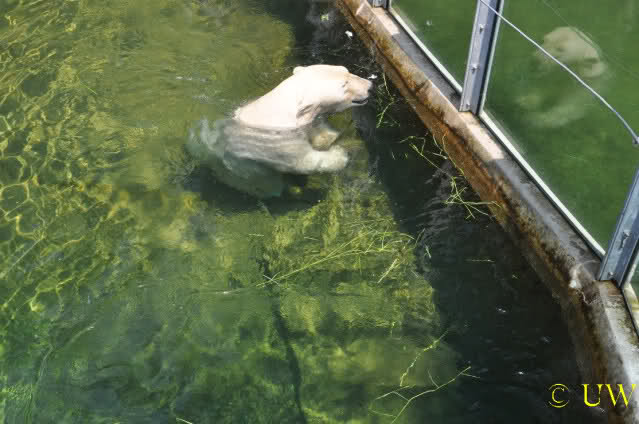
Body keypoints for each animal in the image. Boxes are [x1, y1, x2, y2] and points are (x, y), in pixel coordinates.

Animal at [187, 64, 373, 198]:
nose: (370, 86)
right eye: (344, 85)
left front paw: (328, 136)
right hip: (244, 172)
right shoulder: (279, 143)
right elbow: (304, 162)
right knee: (269, 186)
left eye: (346, 70)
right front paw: (341, 155)